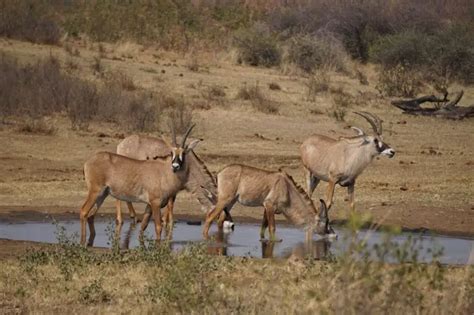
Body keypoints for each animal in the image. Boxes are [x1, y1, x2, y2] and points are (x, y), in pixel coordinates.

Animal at [203, 165, 334, 242]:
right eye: (326, 222)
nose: (334, 235)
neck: (287, 188)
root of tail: (220, 173)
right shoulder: (270, 206)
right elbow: (272, 227)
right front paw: (275, 240)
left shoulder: (266, 207)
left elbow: (263, 226)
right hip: (224, 200)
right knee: (210, 216)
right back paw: (205, 237)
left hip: (231, 202)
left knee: (220, 220)